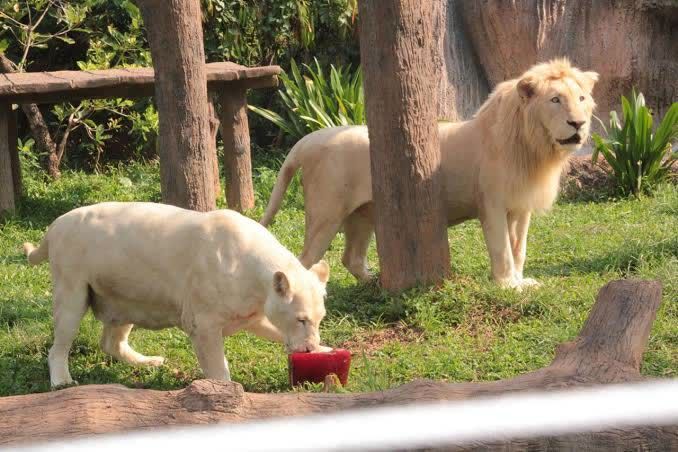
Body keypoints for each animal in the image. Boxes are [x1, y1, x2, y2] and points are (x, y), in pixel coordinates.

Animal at [262, 58, 600, 292]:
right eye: (555, 99)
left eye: (581, 99)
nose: (578, 124)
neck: (534, 148)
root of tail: (309, 139)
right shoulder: (491, 203)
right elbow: (502, 248)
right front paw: (507, 286)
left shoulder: (521, 205)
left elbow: (519, 249)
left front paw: (521, 281)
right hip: (326, 214)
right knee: (304, 259)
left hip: (361, 215)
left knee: (352, 257)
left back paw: (374, 282)